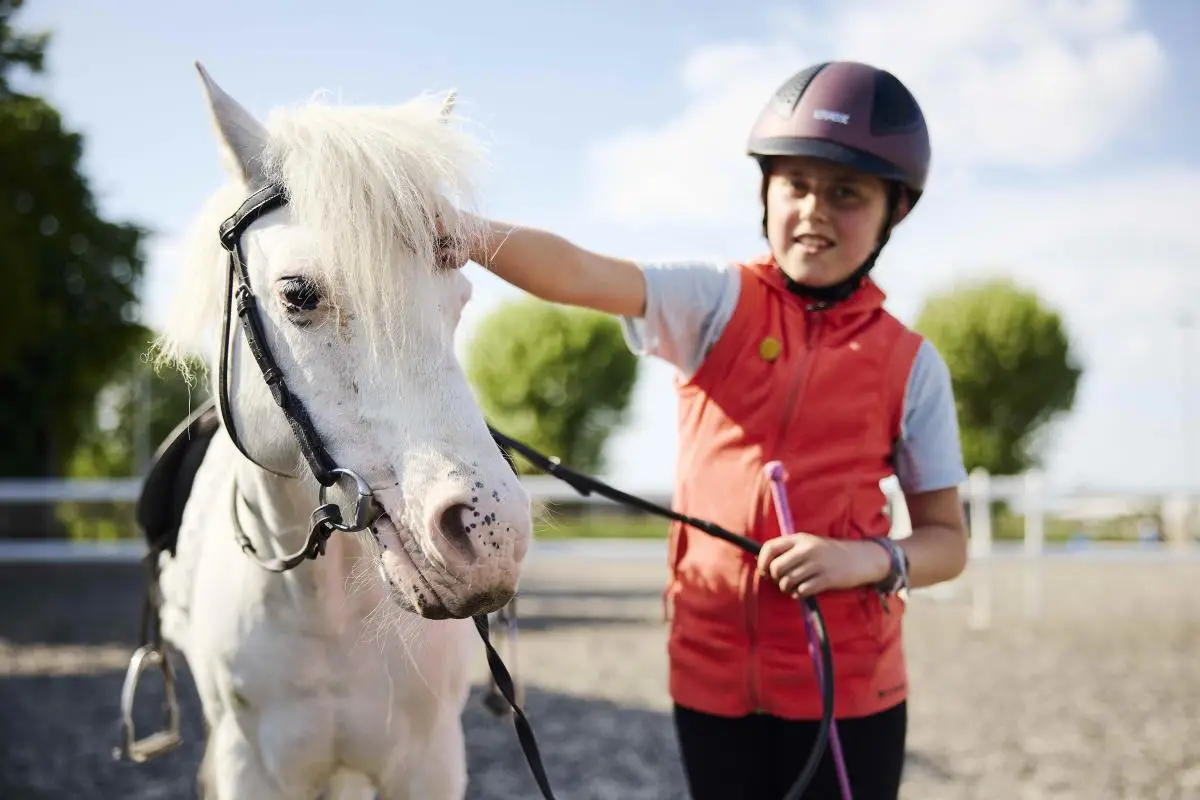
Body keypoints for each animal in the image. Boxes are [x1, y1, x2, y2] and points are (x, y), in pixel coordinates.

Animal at [133, 62, 535, 800]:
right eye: (298, 294)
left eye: (459, 299)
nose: (490, 536)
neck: (326, 611)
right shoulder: (253, 766)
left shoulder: (431, 762)